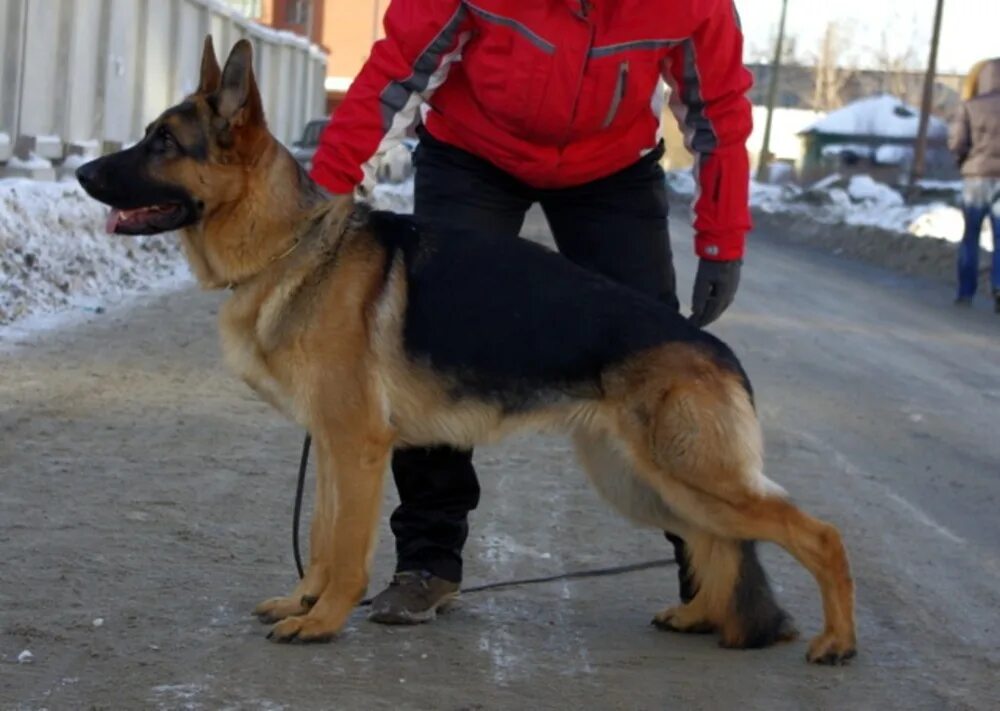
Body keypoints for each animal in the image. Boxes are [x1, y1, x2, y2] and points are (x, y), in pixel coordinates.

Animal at [80, 36, 860, 664]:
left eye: (163, 144)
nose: (85, 174)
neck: (289, 242)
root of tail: (715, 346)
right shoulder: (333, 446)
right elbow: (323, 532)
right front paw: (303, 601)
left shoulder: (357, 446)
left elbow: (345, 548)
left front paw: (324, 621)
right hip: (641, 480)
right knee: (715, 543)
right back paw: (700, 614)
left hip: (687, 474)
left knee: (818, 534)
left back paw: (837, 640)